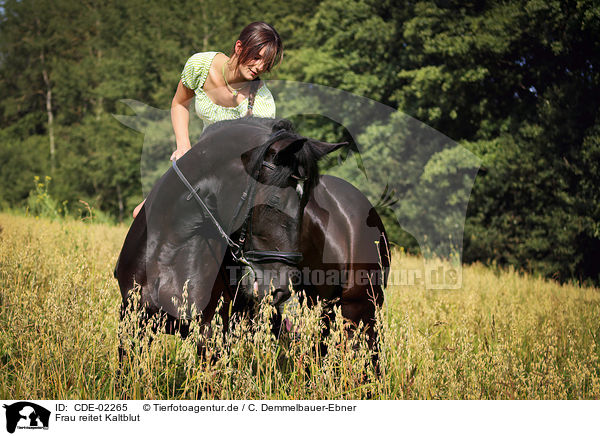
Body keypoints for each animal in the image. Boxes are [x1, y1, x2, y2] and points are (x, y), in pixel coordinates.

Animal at [113, 117, 390, 360]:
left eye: (307, 201)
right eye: (275, 199)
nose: (280, 287)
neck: (170, 246)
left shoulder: (210, 334)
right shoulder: (132, 323)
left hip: (361, 311)